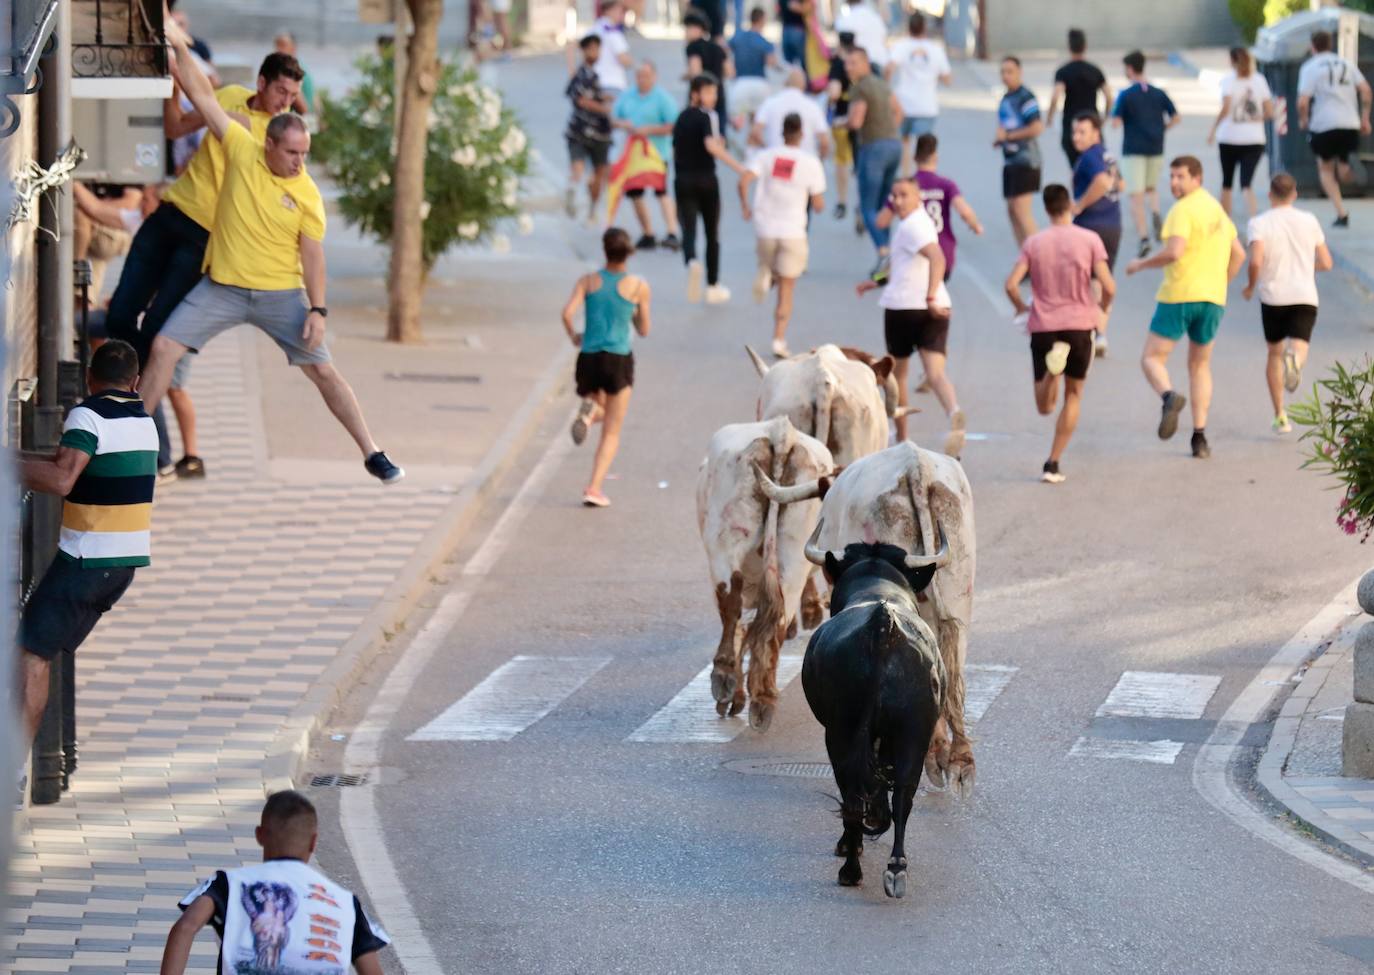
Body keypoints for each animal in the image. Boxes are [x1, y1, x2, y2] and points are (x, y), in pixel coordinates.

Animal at [697, 414, 835, 736]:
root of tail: (780, 431)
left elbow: (741, 628)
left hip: (726, 546)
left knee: (732, 606)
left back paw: (725, 678)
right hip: (793, 554)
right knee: (777, 620)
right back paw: (762, 698)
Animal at [802, 541, 950, 900]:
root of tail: (883, 626)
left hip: (842, 733)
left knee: (853, 795)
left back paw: (850, 869)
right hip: (913, 734)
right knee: (903, 796)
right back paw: (896, 868)